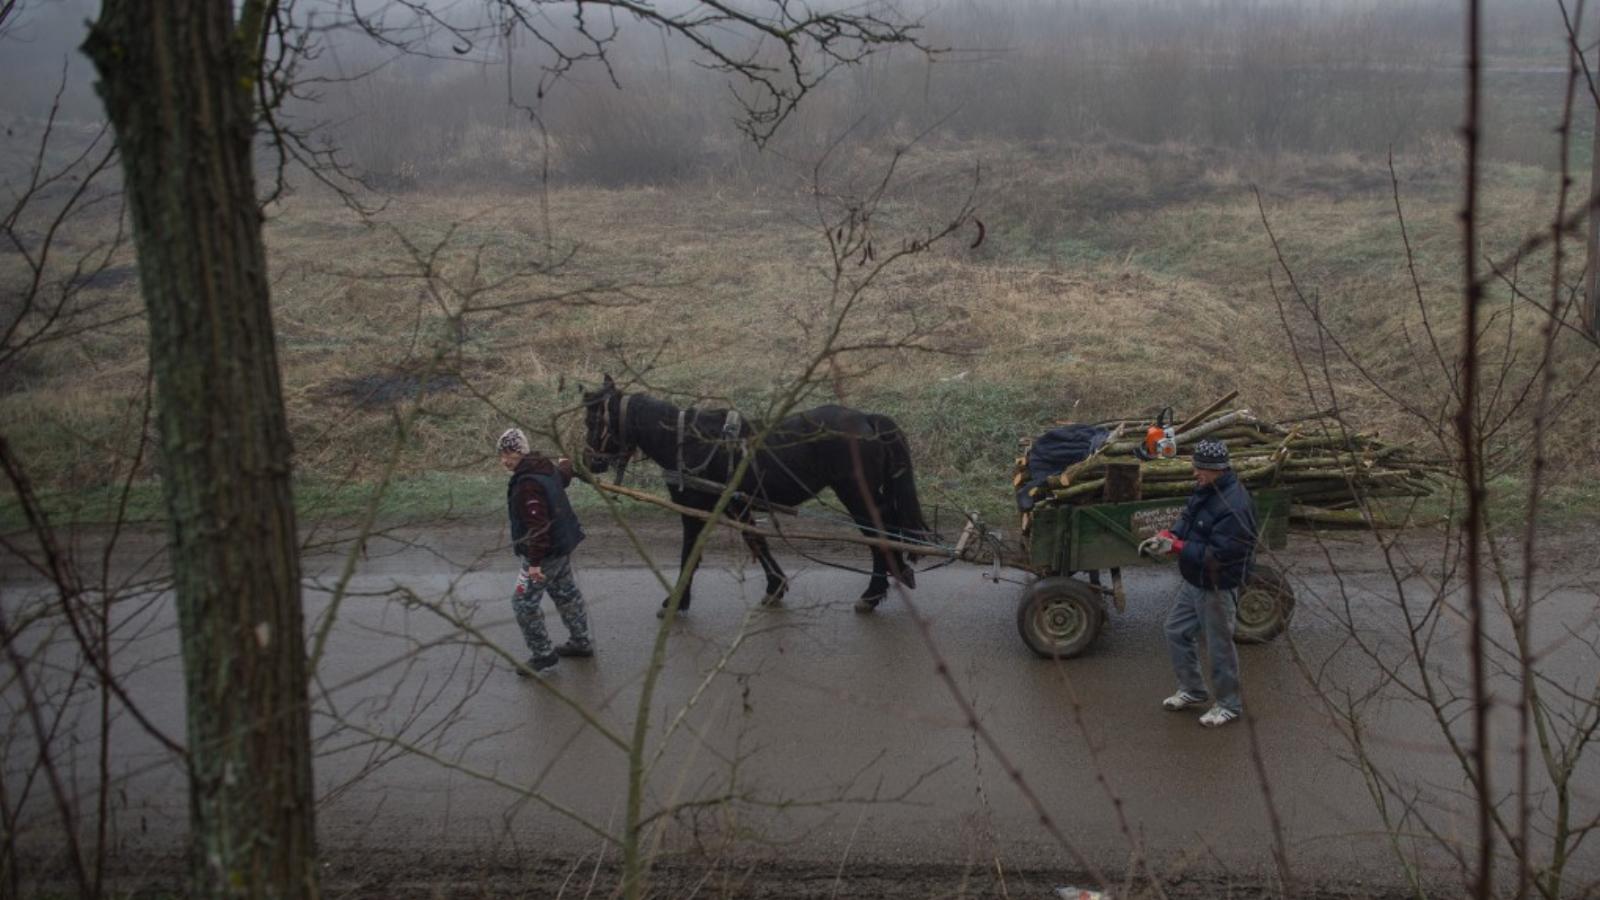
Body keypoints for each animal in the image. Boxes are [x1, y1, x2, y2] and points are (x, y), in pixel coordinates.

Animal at [582, 371, 934, 608]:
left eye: (592, 421)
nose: (589, 462)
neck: (687, 442)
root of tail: (866, 418)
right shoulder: (736, 505)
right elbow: (756, 540)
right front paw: (775, 586)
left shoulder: (694, 509)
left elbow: (690, 552)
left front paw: (677, 601)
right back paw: (897, 574)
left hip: (856, 494)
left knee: (876, 534)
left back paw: (873, 592)